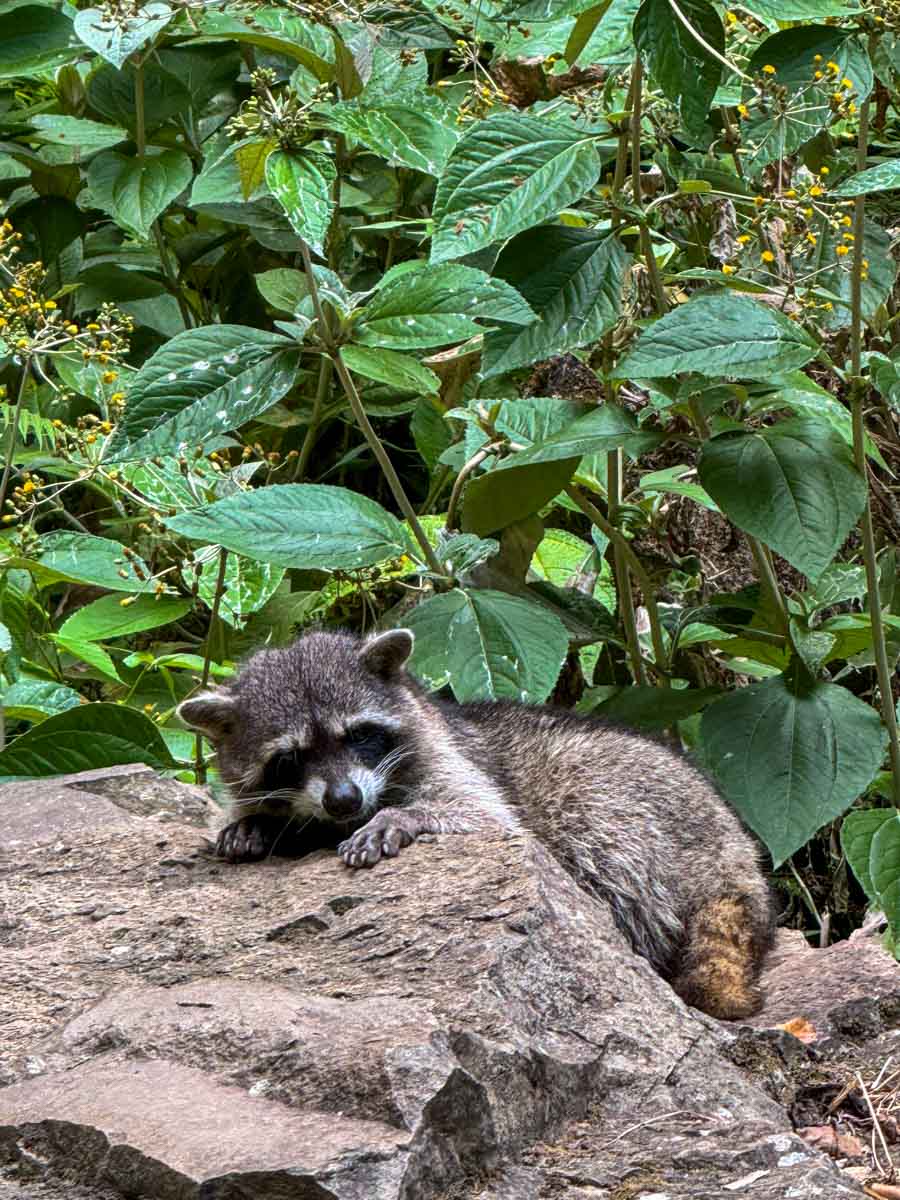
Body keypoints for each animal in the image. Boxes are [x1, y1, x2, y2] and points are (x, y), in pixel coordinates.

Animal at [178, 628, 773, 1020]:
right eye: (290, 758)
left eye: (360, 735)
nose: (345, 801)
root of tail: (734, 845)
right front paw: (259, 823)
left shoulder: (453, 758)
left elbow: (488, 814)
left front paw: (403, 816)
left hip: (634, 802)